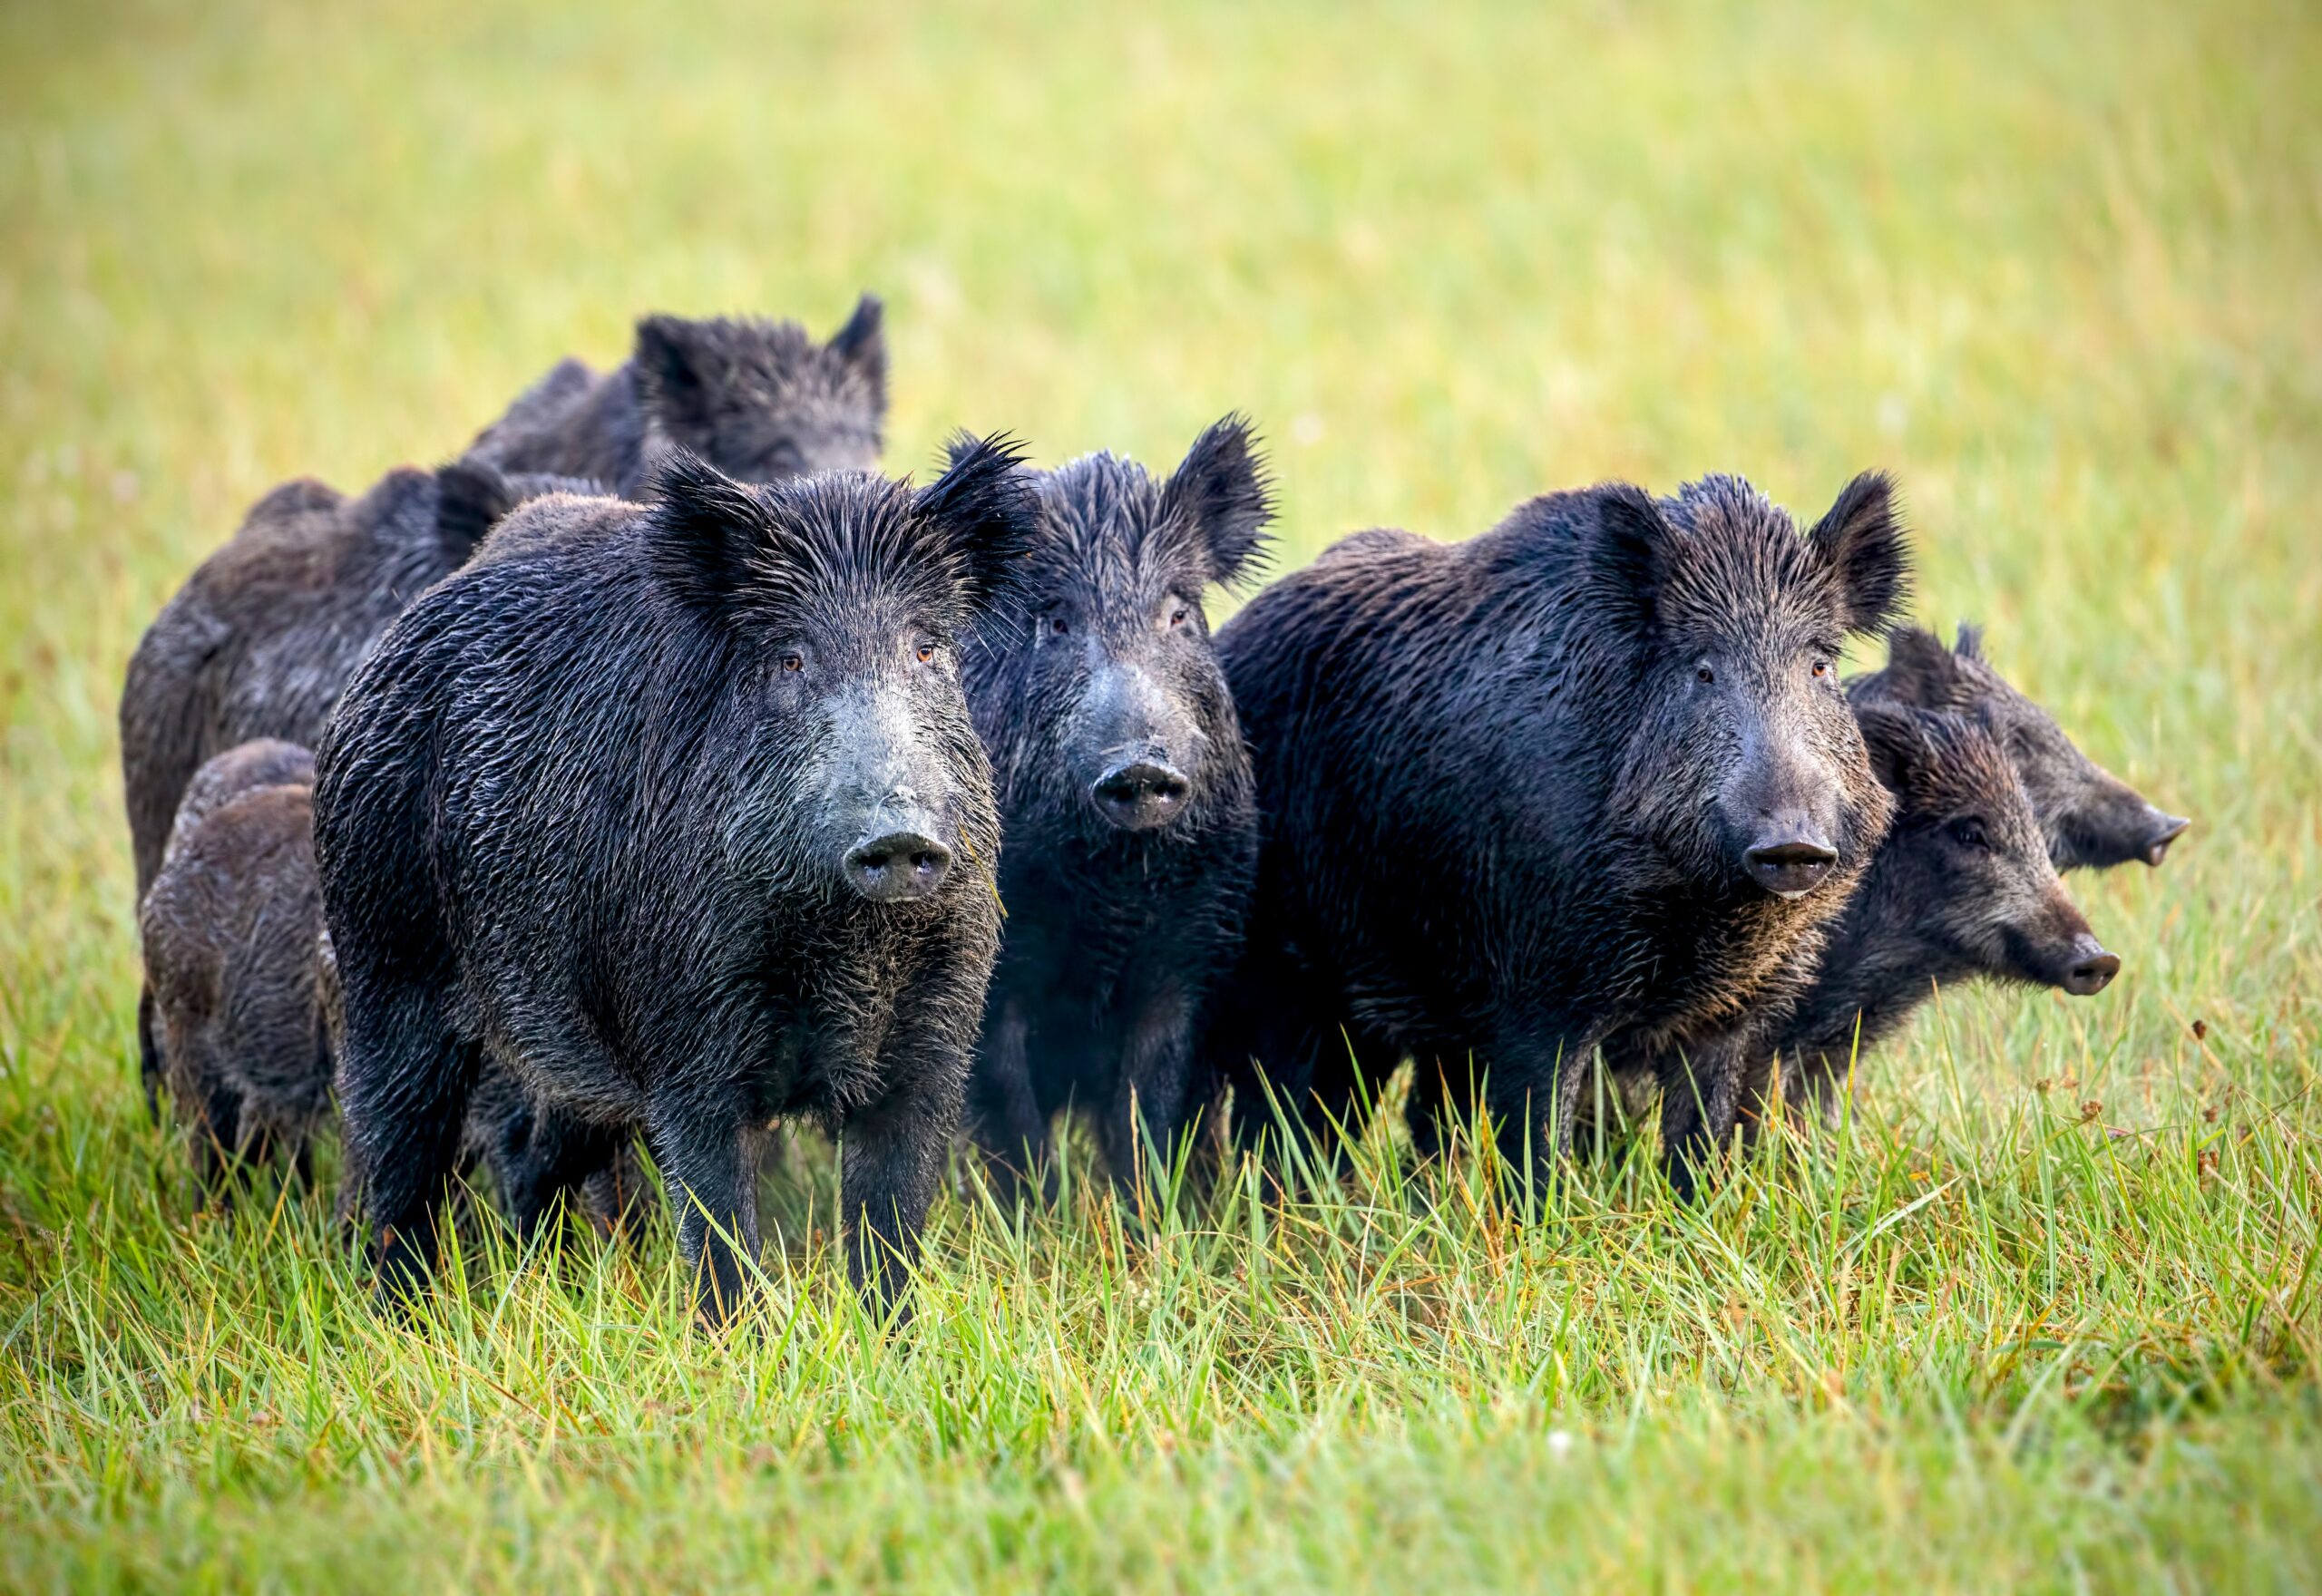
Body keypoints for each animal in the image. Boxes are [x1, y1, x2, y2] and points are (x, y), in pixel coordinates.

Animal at [315, 441, 1037, 1325]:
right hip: (384, 961)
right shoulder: (687, 1042)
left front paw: (889, 1338)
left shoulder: (935, 1038)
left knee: (532, 1154)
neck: (845, 945)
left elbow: (890, 1228)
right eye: (790, 658)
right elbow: (722, 1229)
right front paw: (740, 1342)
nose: (898, 836)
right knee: (397, 1157)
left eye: (928, 651)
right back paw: (401, 1316)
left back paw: (542, 1280)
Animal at [958, 418, 1273, 1200]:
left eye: (1180, 613)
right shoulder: (997, 970)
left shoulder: (1194, 950)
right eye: (1056, 621)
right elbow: (1011, 1113)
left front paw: (1153, 1215)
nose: (1141, 766)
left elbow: (1149, 1105)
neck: (1115, 889)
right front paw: (1039, 1218)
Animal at [1205, 472, 1911, 1196]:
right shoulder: (1537, 994)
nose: (1793, 843)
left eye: (1821, 667)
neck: (1703, 912)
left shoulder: (1730, 1012)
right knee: (1283, 1115)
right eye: (1703, 669)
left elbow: (1700, 1144)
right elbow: (1540, 1145)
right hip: (1285, 976)